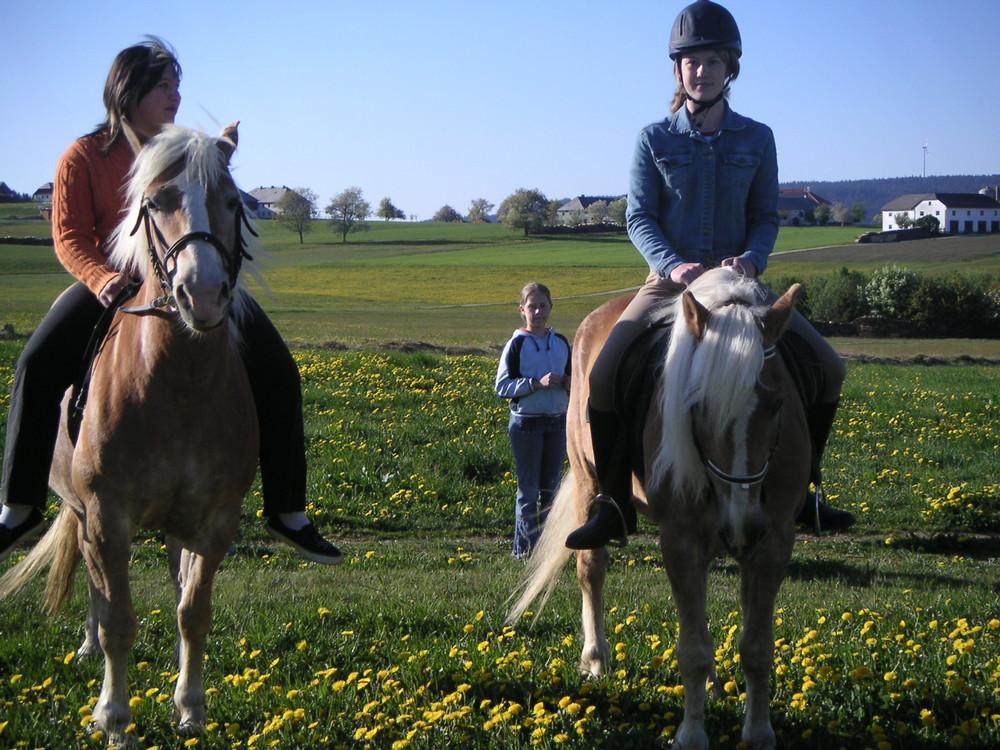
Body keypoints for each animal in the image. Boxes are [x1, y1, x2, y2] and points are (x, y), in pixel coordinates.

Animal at [0, 123, 262, 748]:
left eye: (233, 202)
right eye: (156, 202)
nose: (202, 294)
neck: (178, 385)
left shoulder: (213, 521)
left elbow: (193, 611)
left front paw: (190, 708)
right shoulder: (106, 514)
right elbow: (119, 618)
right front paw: (115, 718)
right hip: (84, 513)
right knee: (98, 587)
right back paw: (88, 651)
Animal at [512, 270, 808, 750]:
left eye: (776, 404)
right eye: (697, 405)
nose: (741, 527)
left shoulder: (773, 542)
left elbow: (757, 647)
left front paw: (759, 732)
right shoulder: (681, 540)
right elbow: (693, 650)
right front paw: (691, 733)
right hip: (589, 483)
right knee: (591, 569)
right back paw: (597, 659)